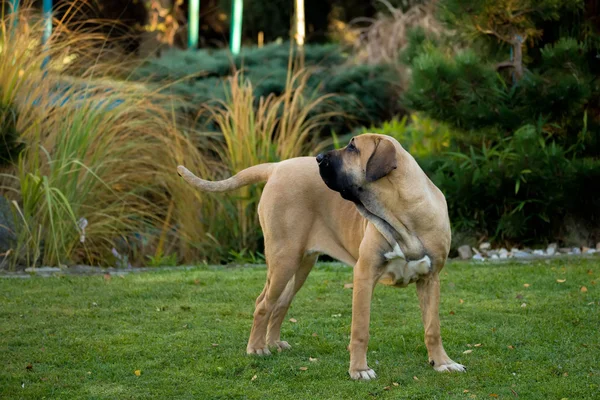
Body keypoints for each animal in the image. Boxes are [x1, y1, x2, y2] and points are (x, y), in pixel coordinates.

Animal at [176, 134, 466, 378]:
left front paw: (442, 362)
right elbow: (360, 329)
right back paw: (257, 348)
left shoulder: (431, 279)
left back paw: (273, 342)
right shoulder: (364, 275)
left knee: (280, 304)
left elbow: (433, 328)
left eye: (352, 148)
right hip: (284, 259)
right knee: (263, 303)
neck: (403, 213)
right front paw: (359, 370)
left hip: (301, 264)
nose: (318, 157)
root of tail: (277, 167)